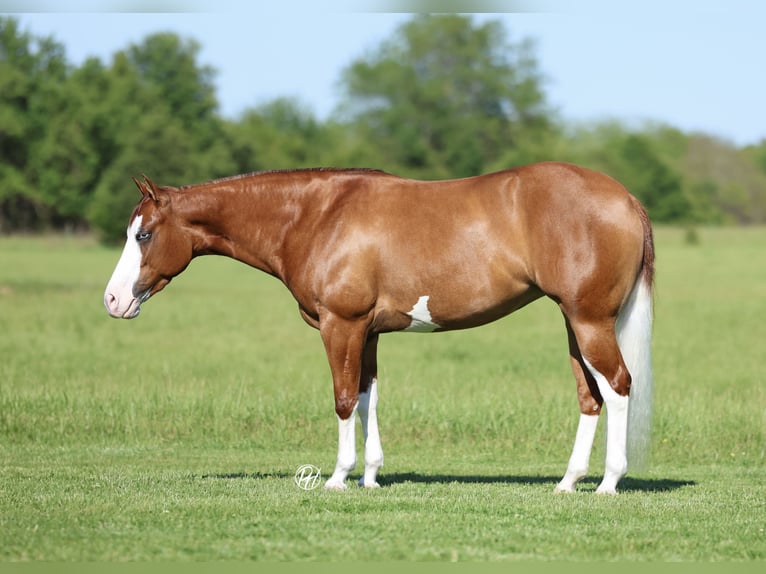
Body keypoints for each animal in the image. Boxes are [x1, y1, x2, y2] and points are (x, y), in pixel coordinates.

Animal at [103, 161, 654, 494]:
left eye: (144, 234)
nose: (112, 300)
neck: (316, 215)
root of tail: (626, 197)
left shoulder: (340, 325)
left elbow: (344, 398)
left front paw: (337, 477)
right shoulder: (366, 333)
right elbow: (368, 397)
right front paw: (369, 476)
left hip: (588, 320)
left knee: (618, 386)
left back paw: (609, 483)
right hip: (573, 323)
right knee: (590, 396)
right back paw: (568, 482)